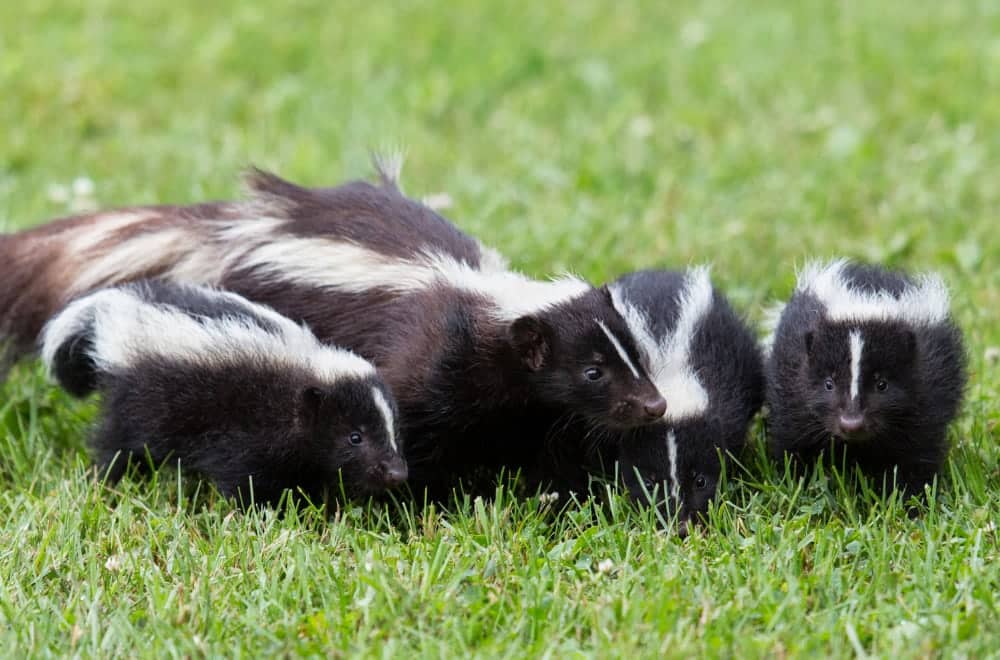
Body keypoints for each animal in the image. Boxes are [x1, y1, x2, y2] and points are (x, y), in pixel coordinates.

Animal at [39, 278, 406, 506]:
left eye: (393, 432)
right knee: (116, 441)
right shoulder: (247, 428)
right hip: (134, 396)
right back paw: (108, 480)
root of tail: (120, 306)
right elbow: (243, 476)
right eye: (355, 437)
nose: (397, 472)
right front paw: (258, 512)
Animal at [764, 260, 968, 498]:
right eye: (829, 384)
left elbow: (917, 452)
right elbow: (796, 440)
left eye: (882, 385)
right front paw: (799, 484)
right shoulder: (792, 380)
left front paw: (908, 497)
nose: (852, 424)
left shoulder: (928, 391)